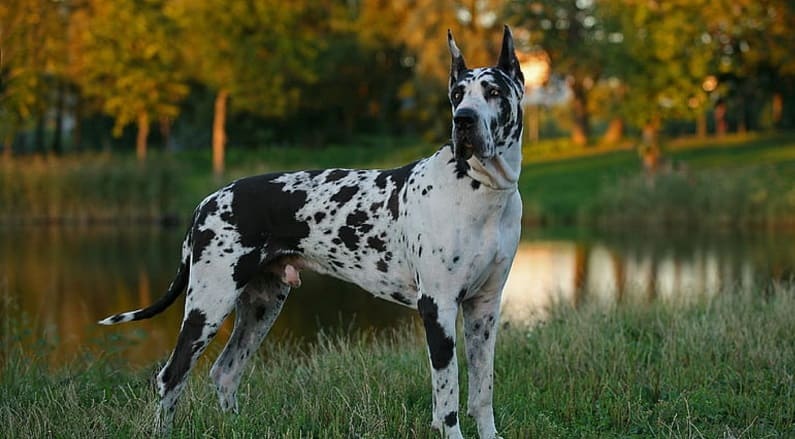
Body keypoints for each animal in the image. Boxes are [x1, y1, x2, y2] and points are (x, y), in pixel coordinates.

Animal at [99, 24, 524, 439]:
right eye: (457, 95)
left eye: (493, 92)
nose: (463, 120)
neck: (481, 190)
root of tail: (207, 200)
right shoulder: (437, 307)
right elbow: (447, 398)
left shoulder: (484, 308)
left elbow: (482, 391)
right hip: (208, 303)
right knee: (171, 375)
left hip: (261, 305)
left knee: (225, 372)